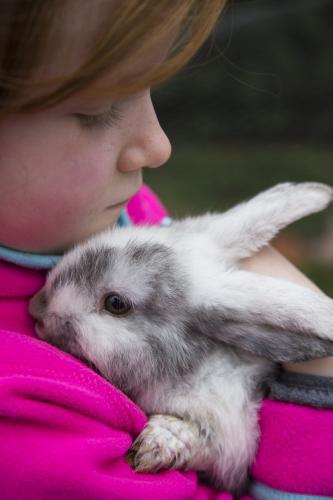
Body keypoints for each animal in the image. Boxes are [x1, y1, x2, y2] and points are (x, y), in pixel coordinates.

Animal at [28, 182, 332, 494]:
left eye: (116, 303)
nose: (37, 307)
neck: (192, 361)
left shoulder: (229, 431)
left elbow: (199, 439)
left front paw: (152, 447)